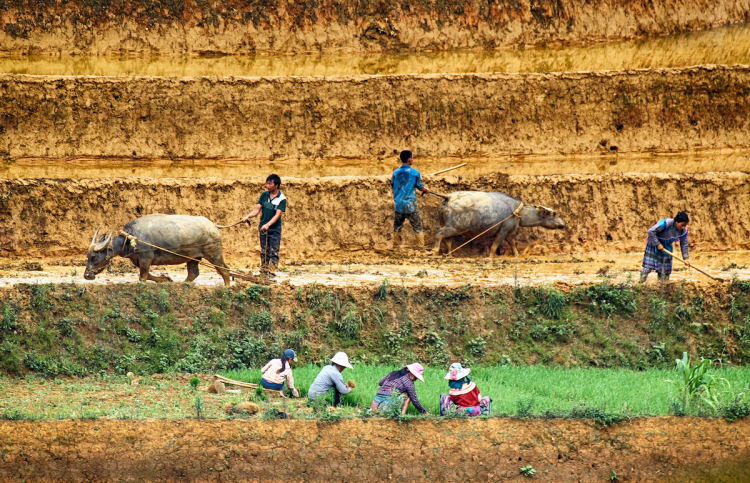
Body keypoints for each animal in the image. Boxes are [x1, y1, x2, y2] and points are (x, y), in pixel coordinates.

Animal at [83, 214, 231, 286]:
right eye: (88, 256)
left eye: (94, 257)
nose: (86, 275)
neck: (131, 239)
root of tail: (213, 225)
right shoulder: (139, 260)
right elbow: (148, 275)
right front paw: (166, 279)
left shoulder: (146, 259)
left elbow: (143, 276)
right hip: (193, 258)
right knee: (193, 273)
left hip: (213, 254)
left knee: (224, 269)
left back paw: (227, 286)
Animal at [432, 192, 568, 260]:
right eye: (554, 214)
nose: (564, 224)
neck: (518, 212)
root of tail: (448, 197)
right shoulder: (503, 231)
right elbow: (495, 245)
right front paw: (490, 257)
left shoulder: (510, 232)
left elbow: (513, 243)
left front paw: (516, 255)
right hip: (455, 227)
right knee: (438, 233)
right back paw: (435, 252)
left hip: (451, 226)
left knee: (448, 240)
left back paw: (449, 255)